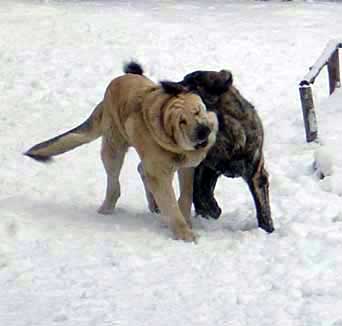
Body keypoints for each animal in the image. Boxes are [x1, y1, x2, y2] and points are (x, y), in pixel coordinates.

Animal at [24, 63, 218, 242]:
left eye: (197, 111)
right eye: (181, 122)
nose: (202, 131)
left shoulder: (185, 167)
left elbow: (185, 195)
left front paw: (185, 220)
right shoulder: (160, 172)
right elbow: (170, 204)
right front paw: (184, 234)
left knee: (141, 170)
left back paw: (153, 204)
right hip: (113, 148)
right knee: (115, 183)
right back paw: (107, 209)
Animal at [178, 70, 274, 233]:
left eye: (189, 83)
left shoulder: (256, 173)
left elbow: (263, 208)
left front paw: (268, 229)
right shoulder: (204, 166)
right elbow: (201, 192)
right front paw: (211, 209)